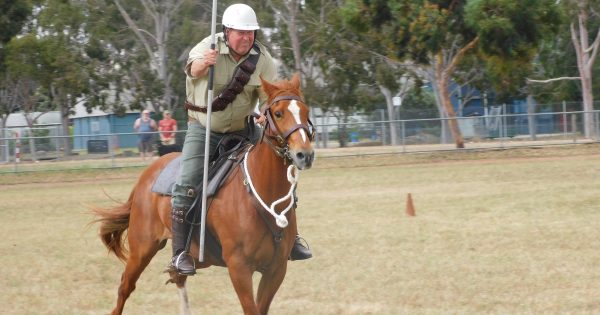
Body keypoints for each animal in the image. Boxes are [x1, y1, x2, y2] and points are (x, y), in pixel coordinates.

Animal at [92, 74, 314, 315]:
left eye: (306, 111)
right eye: (279, 113)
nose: (304, 154)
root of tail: (147, 175)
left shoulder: (276, 270)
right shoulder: (239, 268)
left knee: (178, 277)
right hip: (142, 248)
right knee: (125, 286)